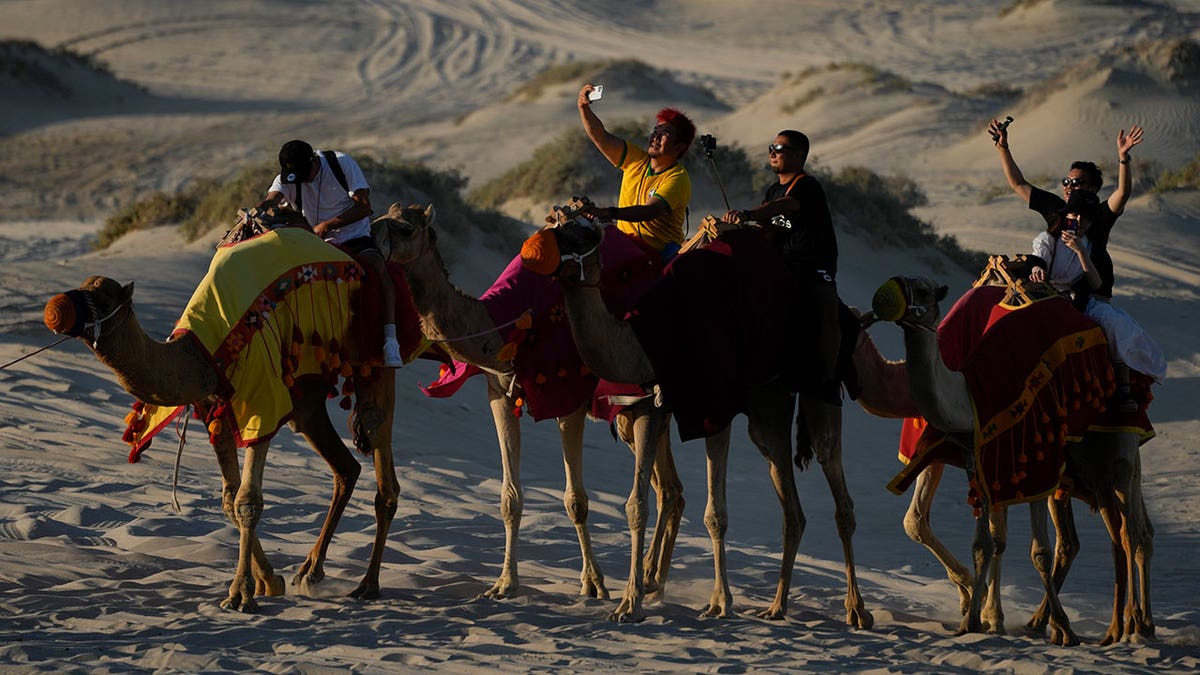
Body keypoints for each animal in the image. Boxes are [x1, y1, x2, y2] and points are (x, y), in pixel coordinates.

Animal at [41, 219, 403, 605]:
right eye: (83, 287)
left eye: (103, 297)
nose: (56, 308)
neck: (199, 354)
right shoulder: (217, 410)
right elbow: (230, 500)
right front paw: (269, 581)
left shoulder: (263, 400)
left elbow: (248, 500)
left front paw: (241, 594)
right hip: (308, 396)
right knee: (346, 467)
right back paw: (310, 572)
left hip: (371, 356)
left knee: (379, 448)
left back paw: (367, 584)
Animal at [369, 201, 686, 600]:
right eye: (385, 213)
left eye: (406, 228)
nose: (370, 232)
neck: (501, 327)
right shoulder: (499, 394)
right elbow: (510, 498)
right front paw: (504, 584)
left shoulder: (569, 400)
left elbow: (576, 501)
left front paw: (594, 583)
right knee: (670, 489)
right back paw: (652, 577)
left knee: (666, 488)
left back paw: (651, 581)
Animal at [528, 206, 883, 624]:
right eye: (556, 225)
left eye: (578, 233)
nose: (534, 252)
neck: (647, 343)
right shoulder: (647, 408)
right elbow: (636, 505)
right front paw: (629, 602)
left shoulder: (714, 410)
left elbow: (715, 514)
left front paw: (718, 601)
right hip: (768, 403)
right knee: (791, 504)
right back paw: (776, 606)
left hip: (819, 384)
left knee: (837, 486)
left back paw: (856, 609)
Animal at [873, 276, 1152, 643]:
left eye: (923, 291)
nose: (883, 299)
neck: (972, 391)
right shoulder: (981, 461)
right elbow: (985, 542)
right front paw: (976, 620)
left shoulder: (1036, 457)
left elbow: (1037, 551)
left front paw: (1002, 616)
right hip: (1087, 471)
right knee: (1094, 538)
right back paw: (1081, 625)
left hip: (1118, 453)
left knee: (1131, 532)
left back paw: (1133, 626)